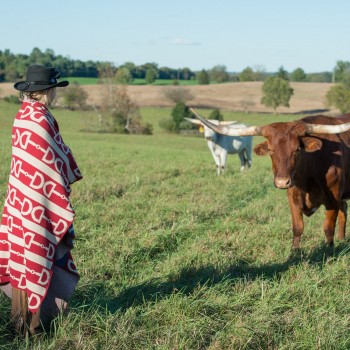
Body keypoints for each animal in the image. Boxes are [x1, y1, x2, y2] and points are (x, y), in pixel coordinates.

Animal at [191, 108, 350, 247]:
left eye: (297, 149)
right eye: (271, 150)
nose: (282, 182)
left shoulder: (334, 197)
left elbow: (328, 228)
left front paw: (328, 250)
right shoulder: (292, 196)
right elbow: (297, 227)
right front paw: (295, 252)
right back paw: (342, 239)